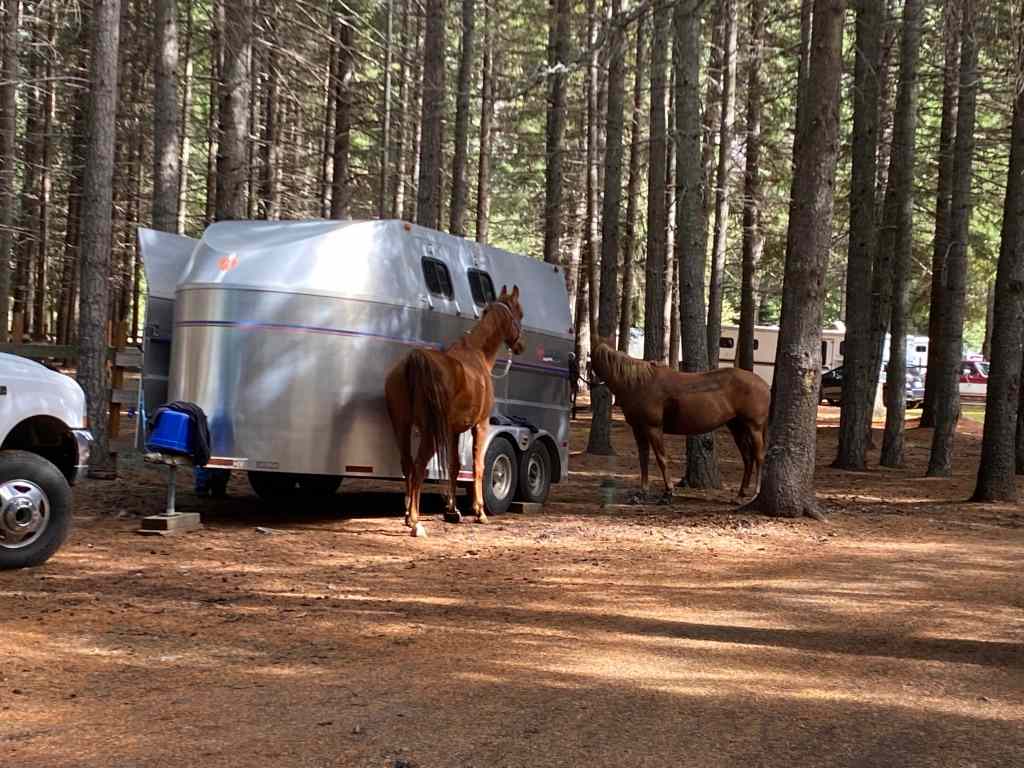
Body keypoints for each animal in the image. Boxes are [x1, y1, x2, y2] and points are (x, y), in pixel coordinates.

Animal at [385, 286, 528, 532]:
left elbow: (454, 466)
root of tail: (414, 360)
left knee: (408, 465)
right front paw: (480, 512)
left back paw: (407, 515)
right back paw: (415, 521)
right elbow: (478, 466)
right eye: (520, 313)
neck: (477, 354)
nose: (521, 346)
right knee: (419, 466)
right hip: (430, 433)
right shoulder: (480, 426)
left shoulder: (453, 431)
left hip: (401, 426)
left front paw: (452, 511)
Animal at [593, 339, 770, 501]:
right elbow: (643, 458)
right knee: (748, 458)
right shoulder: (638, 429)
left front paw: (668, 493)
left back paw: (755, 493)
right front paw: (642, 493)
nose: (591, 383)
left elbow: (661, 458)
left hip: (754, 427)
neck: (639, 384)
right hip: (737, 427)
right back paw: (740, 494)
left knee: (759, 457)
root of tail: (764, 384)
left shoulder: (653, 428)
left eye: (592, 360)